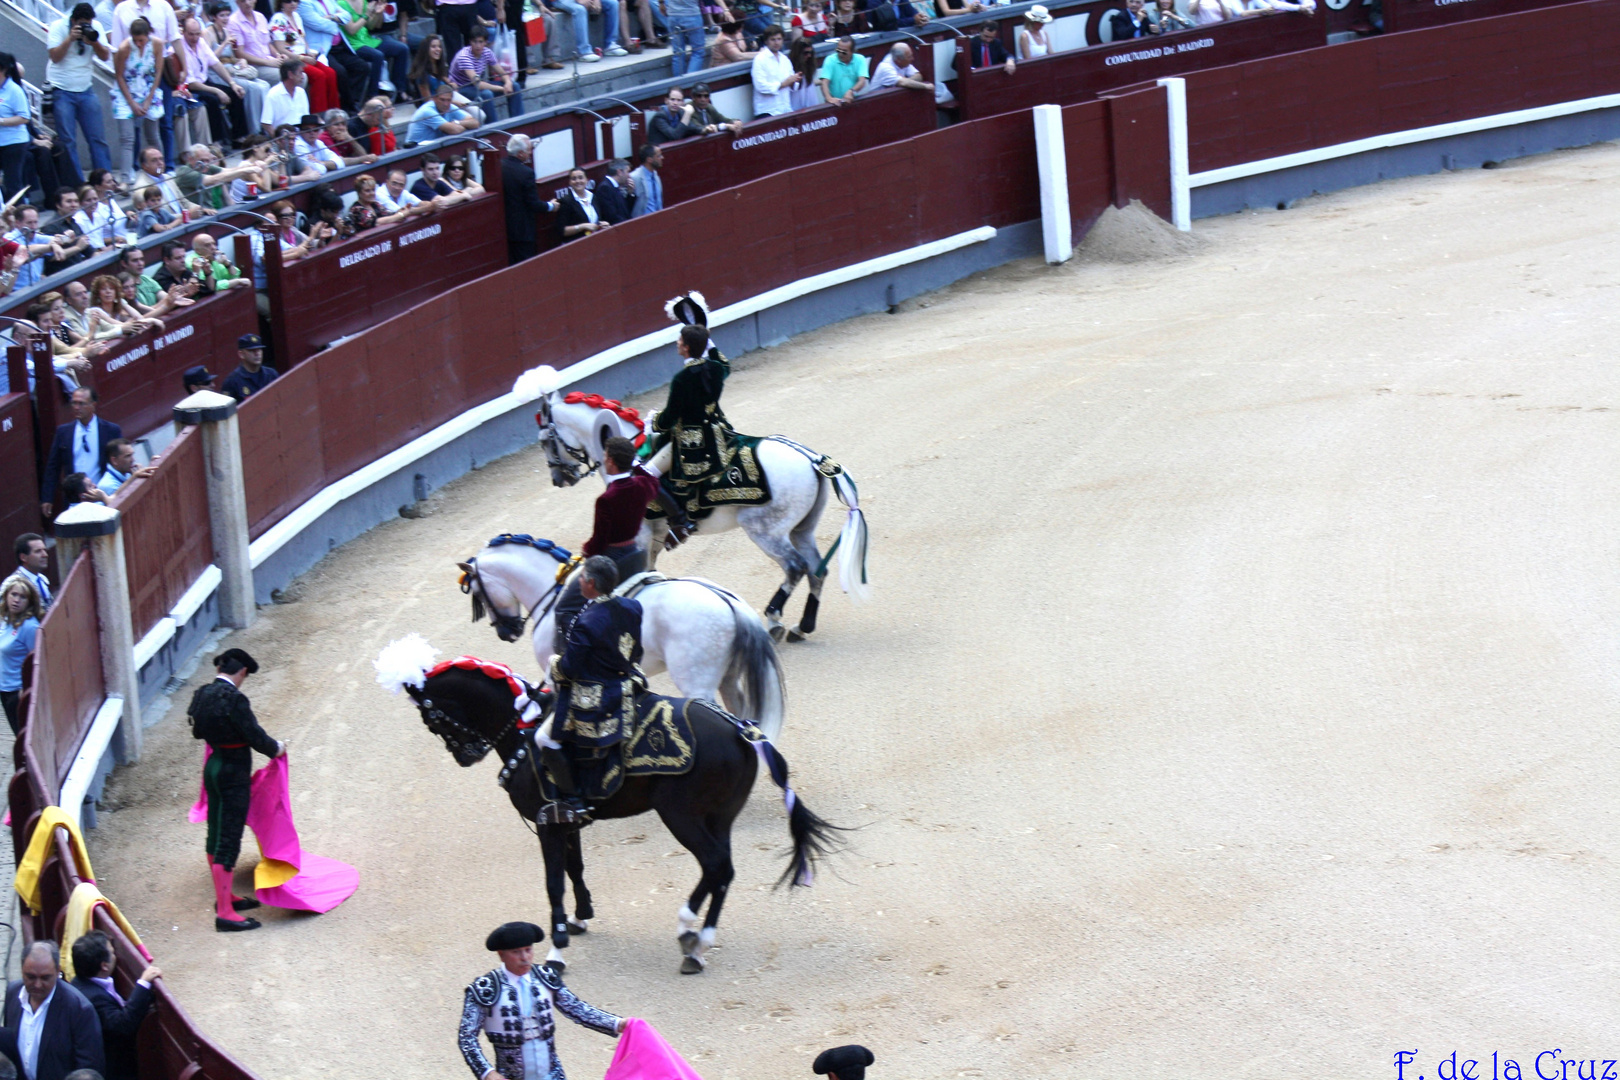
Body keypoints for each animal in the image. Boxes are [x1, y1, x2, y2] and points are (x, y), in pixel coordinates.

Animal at [456, 534, 784, 738]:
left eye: (477, 595)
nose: (506, 632)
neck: (551, 594)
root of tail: (728, 602)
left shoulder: (559, 675)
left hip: (698, 684)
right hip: (728, 677)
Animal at [518, 367, 874, 647]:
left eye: (545, 441)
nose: (558, 478)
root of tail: (813, 459)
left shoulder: (640, 533)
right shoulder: (655, 536)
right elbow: (647, 570)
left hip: (765, 531)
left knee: (796, 567)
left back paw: (774, 620)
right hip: (803, 529)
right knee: (816, 569)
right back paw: (802, 627)